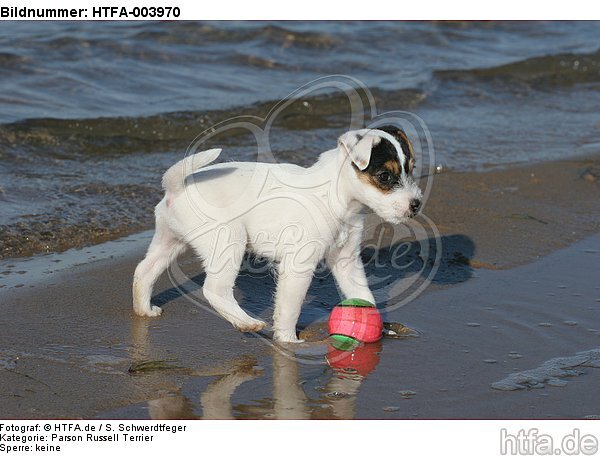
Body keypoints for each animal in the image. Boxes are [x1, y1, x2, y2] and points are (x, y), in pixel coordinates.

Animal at [131, 125, 422, 342]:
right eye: (384, 176)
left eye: (411, 169)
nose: (416, 204)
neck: (336, 196)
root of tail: (176, 187)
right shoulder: (298, 265)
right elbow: (289, 308)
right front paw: (289, 341)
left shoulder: (346, 259)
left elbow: (362, 293)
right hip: (229, 241)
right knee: (214, 289)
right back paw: (247, 323)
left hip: (170, 241)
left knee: (143, 272)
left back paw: (144, 310)